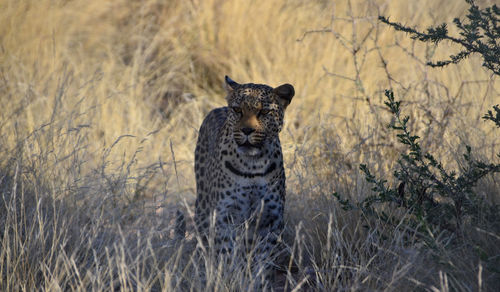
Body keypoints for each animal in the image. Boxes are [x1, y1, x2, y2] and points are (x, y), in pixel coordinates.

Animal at [193, 76, 294, 282]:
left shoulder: (270, 219)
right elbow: (226, 252)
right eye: (237, 110)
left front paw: (256, 280)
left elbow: (262, 259)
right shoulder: (224, 215)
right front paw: (229, 278)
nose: (247, 130)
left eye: (264, 112)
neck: (252, 165)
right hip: (203, 208)